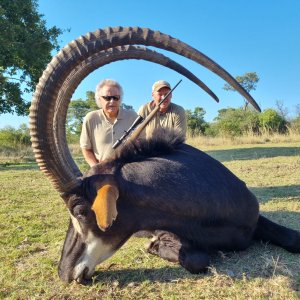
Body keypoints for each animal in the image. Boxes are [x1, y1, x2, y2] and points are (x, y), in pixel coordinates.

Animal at [28, 27, 300, 282]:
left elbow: (293, 238)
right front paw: (154, 246)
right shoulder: (163, 227)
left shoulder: (254, 220)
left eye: (81, 211)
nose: (65, 272)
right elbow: (196, 258)